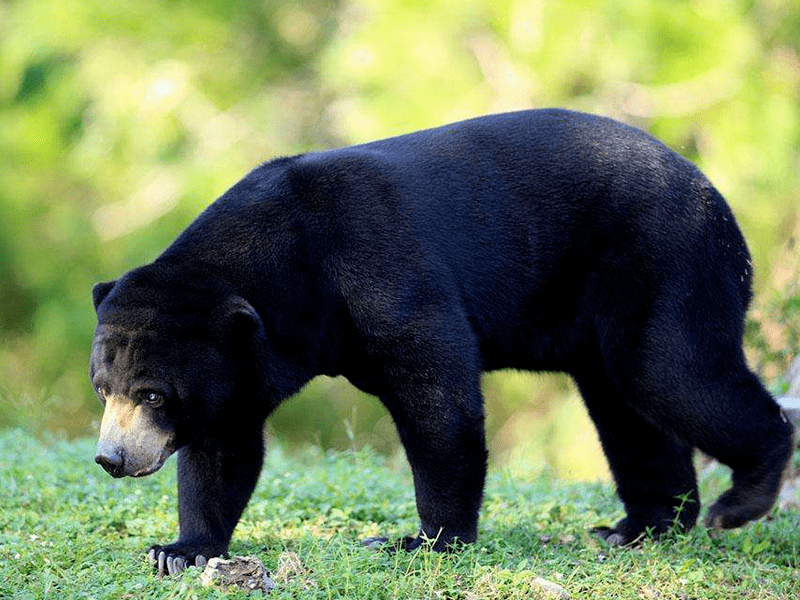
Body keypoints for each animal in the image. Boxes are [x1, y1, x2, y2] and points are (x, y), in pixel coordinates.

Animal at [92, 109, 792, 576]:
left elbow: (438, 398)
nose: (111, 458)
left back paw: (740, 498)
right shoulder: (247, 356)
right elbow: (223, 445)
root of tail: (712, 193)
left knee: (672, 374)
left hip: (662, 261)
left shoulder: (379, 266)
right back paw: (641, 527)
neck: (291, 265)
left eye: (152, 394)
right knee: (627, 407)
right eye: (104, 389)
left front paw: (423, 539)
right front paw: (177, 549)